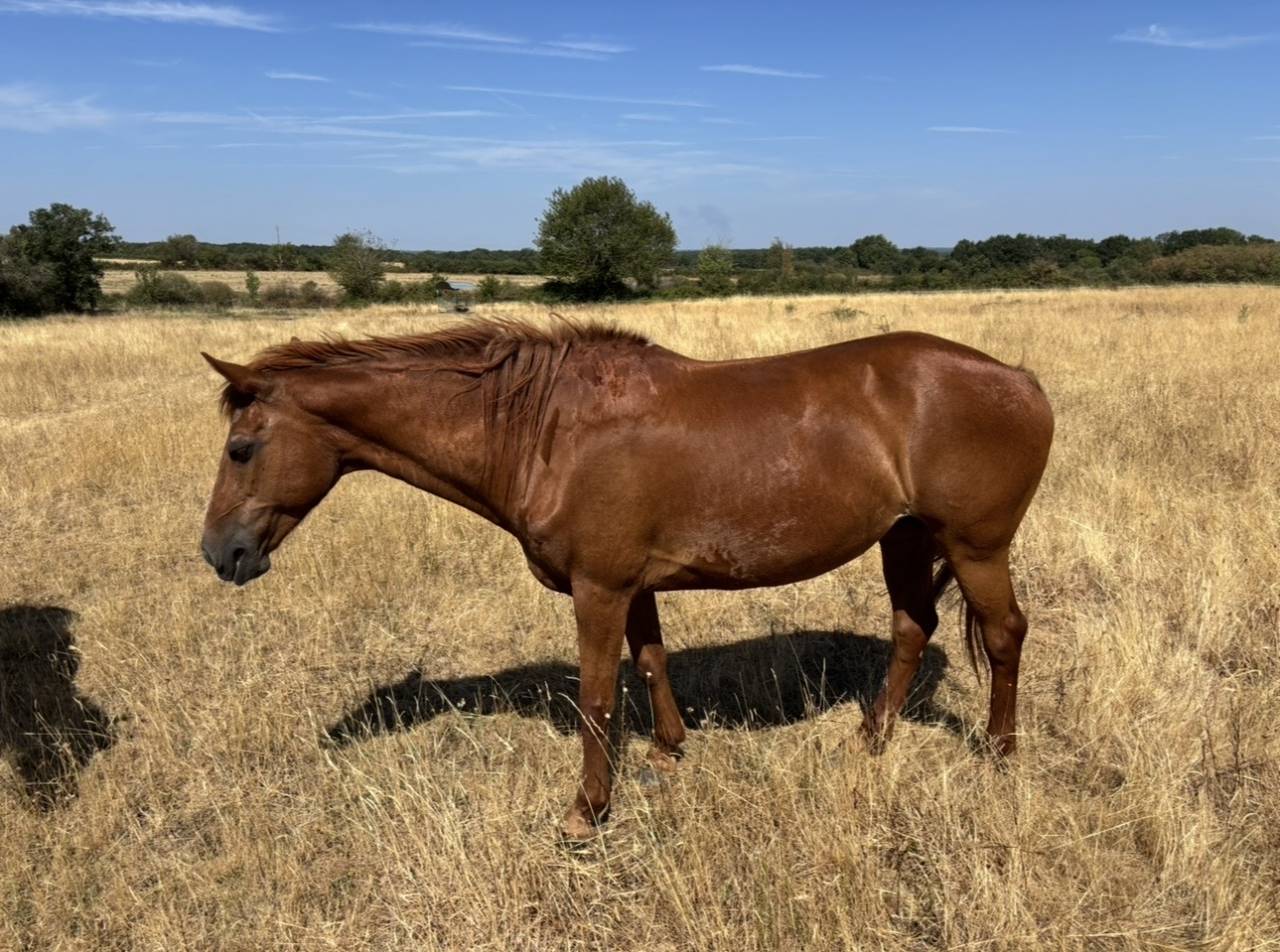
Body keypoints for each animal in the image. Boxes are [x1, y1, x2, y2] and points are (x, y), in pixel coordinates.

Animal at [200, 318, 1053, 839]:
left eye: (242, 448)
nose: (219, 554)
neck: (546, 429)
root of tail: (1021, 380)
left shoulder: (599, 589)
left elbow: (598, 694)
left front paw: (586, 810)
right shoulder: (635, 585)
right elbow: (650, 663)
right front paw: (669, 751)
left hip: (973, 547)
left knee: (1004, 633)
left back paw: (1000, 751)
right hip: (903, 540)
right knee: (912, 628)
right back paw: (871, 738)